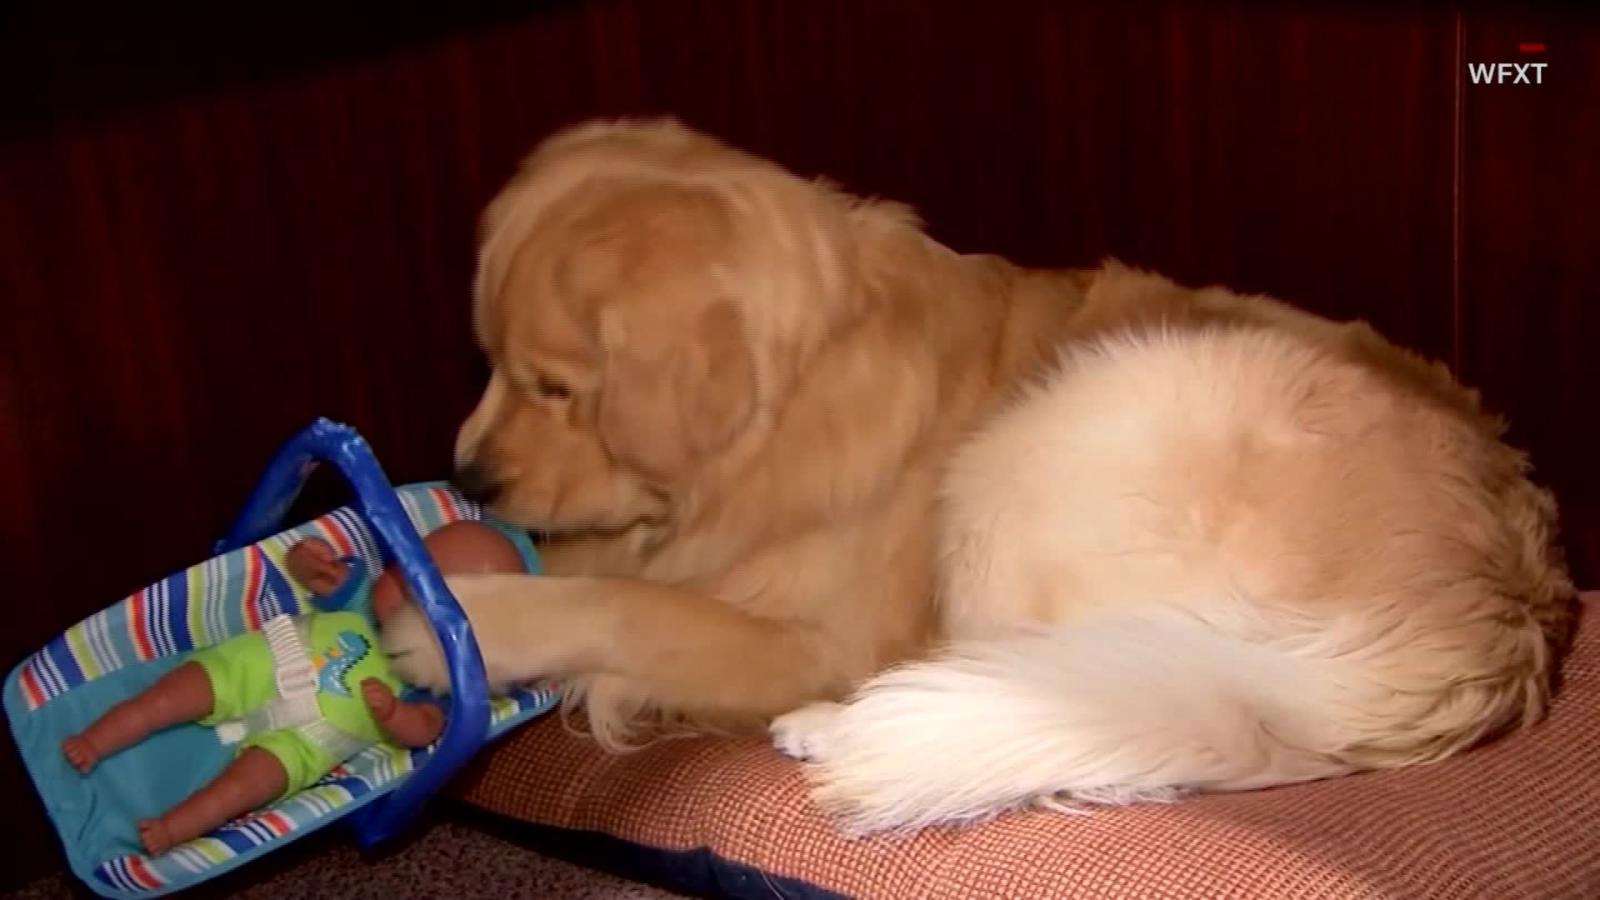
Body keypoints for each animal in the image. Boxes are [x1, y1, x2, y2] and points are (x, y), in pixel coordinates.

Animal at [380, 117, 1568, 826]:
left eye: (556, 387)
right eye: (485, 363)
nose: (470, 475)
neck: (800, 397)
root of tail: (1497, 612)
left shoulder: (817, 639)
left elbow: (618, 602)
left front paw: (452, 624)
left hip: (1049, 444)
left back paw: (837, 729)